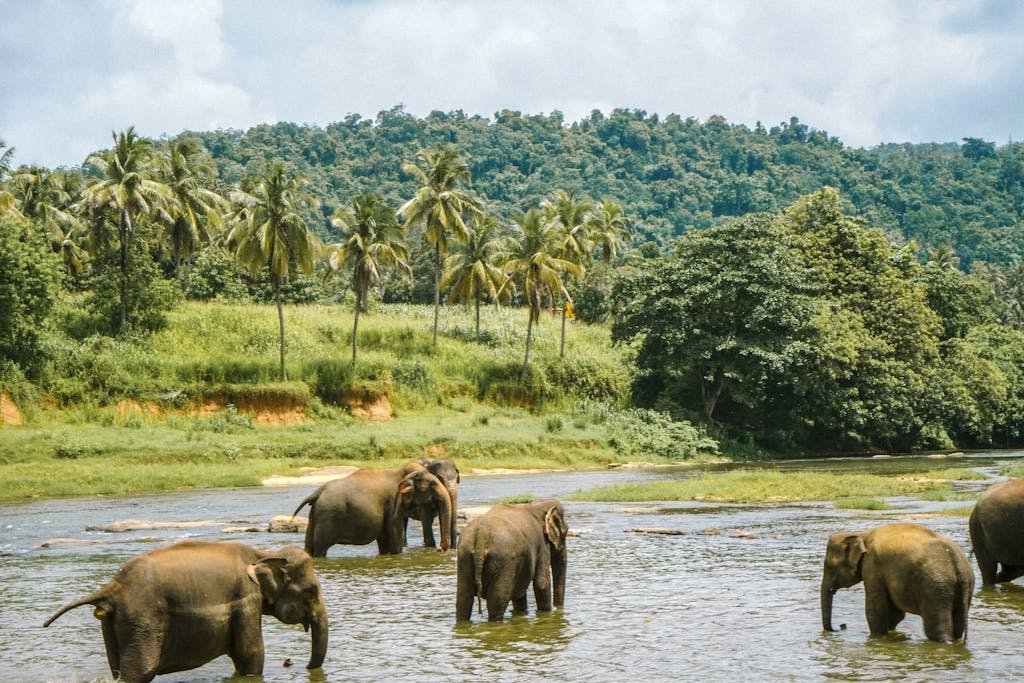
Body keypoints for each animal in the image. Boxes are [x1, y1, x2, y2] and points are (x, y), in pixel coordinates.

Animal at [43, 540, 328, 683]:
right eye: (311, 591)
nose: (301, 666)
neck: (263, 553)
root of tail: (112, 587)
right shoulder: (246, 599)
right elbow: (251, 658)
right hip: (143, 618)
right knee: (139, 672)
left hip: (113, 623)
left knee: (117, 671)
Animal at [292, 460, 452, 556]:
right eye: (433, 484)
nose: (440, 549)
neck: (400, 472)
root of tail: (317, 492)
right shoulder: (393, 503)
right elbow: (395, 538)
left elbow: (384, 541)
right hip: (327, 516)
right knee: (320, 548)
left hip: (315, 515)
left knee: (310, 547)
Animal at [820, 523, 973, 643]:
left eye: (830, 567)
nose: (841, 626)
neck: (861, 534)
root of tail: (956, 561)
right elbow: (895, 613)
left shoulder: (872, 567)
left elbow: (876, 610)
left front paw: (877, 638)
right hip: (964, 586)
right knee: (958, 626)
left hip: (936, 588)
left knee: (936, 630)